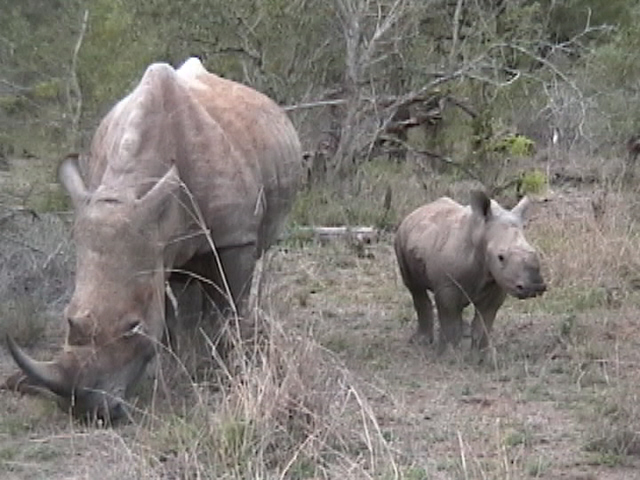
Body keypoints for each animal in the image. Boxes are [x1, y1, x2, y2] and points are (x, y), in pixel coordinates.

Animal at [5, 58, 302, 420]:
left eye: (132, 326)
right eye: (67, 318)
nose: (88, 410)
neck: (127, 184)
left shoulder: (234, 237)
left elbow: (229, 305)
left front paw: (229, 366)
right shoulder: (155, 241)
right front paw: (178, 363)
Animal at [395, 190, 546, 354]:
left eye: (535, 252)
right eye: (501, 257)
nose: (535, 287)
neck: (480, 235)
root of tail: (416, 211)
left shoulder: (497, 283)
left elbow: (483, 324)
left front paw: (481, 356)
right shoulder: (447, 285)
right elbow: (450, 321)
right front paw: (448, 355)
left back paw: (463, 333)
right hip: (401, 238)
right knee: (415, 288)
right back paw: (421, 341)